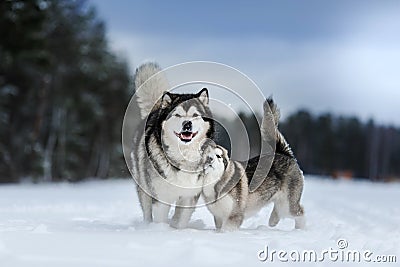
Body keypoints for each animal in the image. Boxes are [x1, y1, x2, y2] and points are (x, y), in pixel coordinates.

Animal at [131, 62, 214, 228]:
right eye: (177, 115)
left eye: (195, 115)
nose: (187, 124)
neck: (183, 157)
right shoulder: (161, 197)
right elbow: (160, 218)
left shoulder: (189, 197)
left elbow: (180, 220)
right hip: (144, 188)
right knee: (146, 210)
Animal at [202, 99, 304, 232]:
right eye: (205, 154)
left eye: (218, 156)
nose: (210, 159)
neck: (213, 182)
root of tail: (284, 153)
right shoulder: (218, 216)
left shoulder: (235, 215)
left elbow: (227, 229)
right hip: (281, 202)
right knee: (279, 212)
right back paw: (273, 221)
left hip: (287, 204)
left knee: (300, 212)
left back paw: (301, 229)